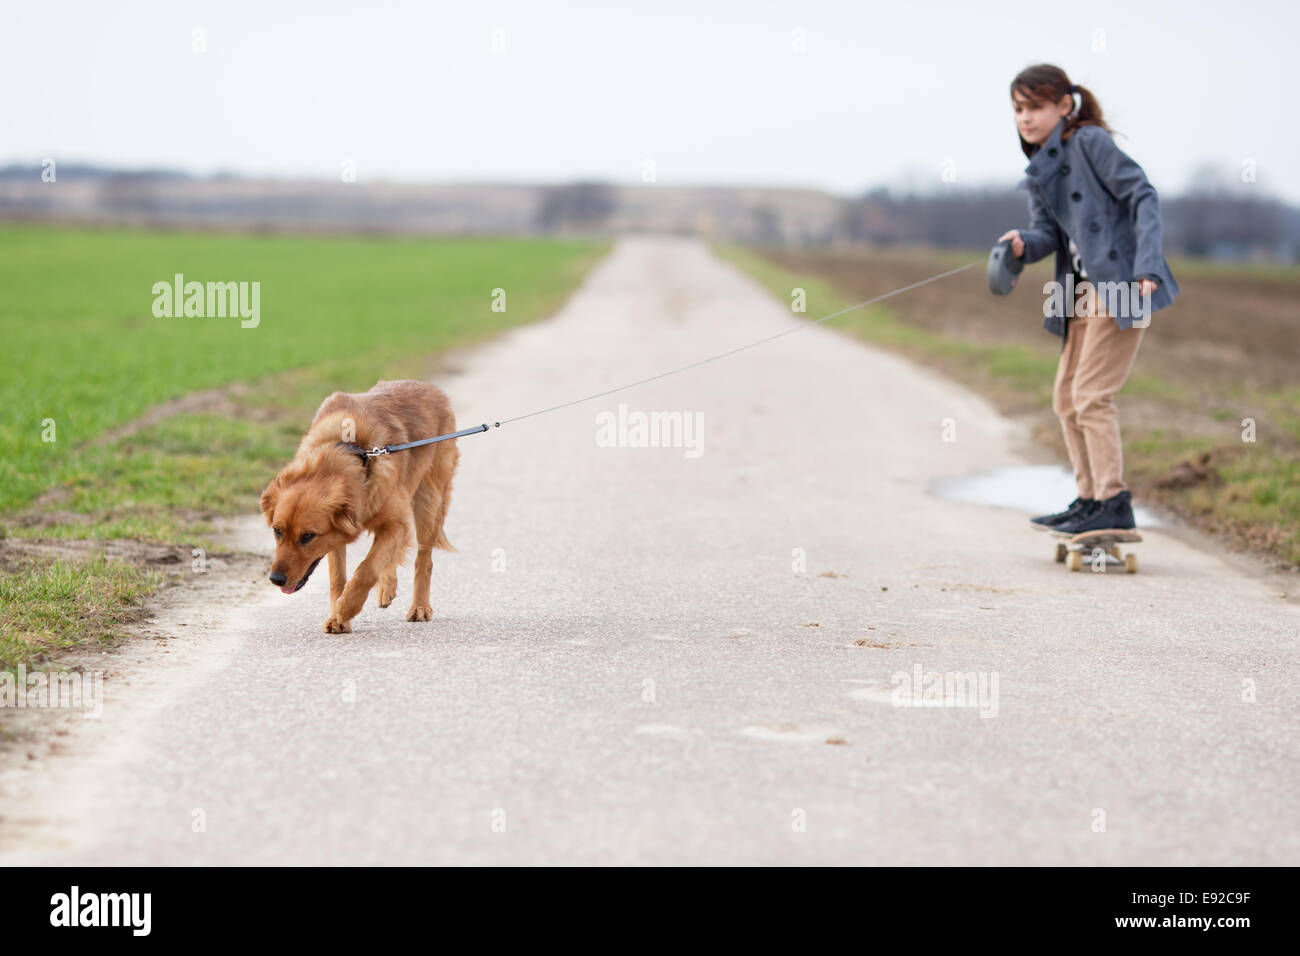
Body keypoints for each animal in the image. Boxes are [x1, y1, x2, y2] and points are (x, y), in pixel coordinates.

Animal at [257, 382, 457, 634]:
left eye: (307, 536)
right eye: (277, 531)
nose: (276, 579)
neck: (349, 451)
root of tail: (430, 387)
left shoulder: (395, 524)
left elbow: (367, 569)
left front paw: (346, 608)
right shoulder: (336, 537)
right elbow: (338, 578)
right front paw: (337, 617)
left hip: (428, 502)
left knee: (423, 560)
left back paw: (420, 607)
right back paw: (387, 587)